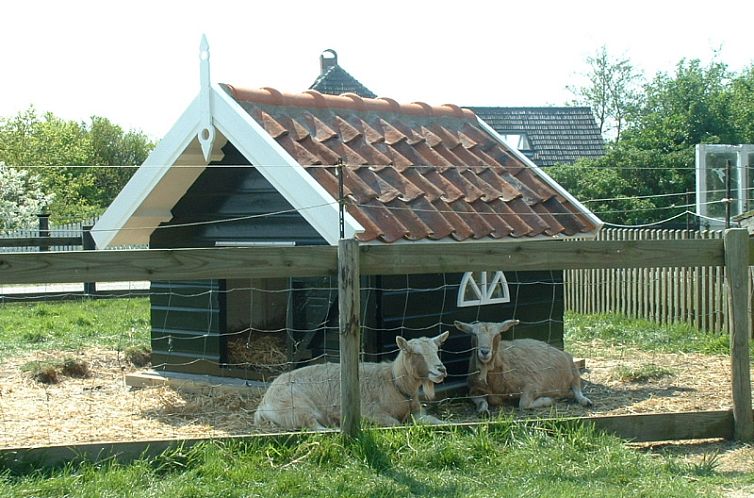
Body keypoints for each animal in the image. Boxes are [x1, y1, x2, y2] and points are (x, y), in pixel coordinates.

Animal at [256, 330, 450, 428]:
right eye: (416, 353)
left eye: (436, 349)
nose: (441, 369)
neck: (394, 382)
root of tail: (263, 403)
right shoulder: (369, 411)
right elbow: (396, 424)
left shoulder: (417, 412)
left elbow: (433, 421)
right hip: (296, 409)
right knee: (314, 426)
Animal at [456, 320, 592, 414]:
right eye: (474, 334)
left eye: (497, 334)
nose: (484, 352)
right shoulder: (473, 390)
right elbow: (482, 401)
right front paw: (483, 410)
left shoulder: (533, 385)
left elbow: (524, 404)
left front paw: (547, 400)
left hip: (573, 370)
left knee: (577, 389)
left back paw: (584, 400)